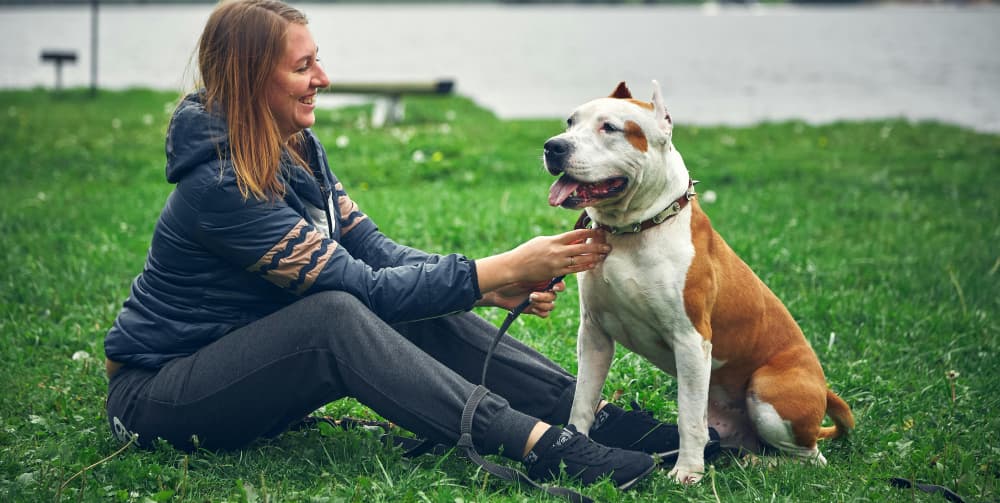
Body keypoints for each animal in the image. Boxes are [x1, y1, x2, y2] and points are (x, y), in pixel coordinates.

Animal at [544, 81, 856, 484]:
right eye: (570, 122)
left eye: (610, 128)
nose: (553, 146)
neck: (634, 230)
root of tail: (824, 390)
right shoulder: (594, 334)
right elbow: (583, 399)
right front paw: (577, 442)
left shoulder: (691, 340)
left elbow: (689, 416)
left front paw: (687, 472)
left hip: (768, 391)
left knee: (812, 458)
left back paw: (762, 463)